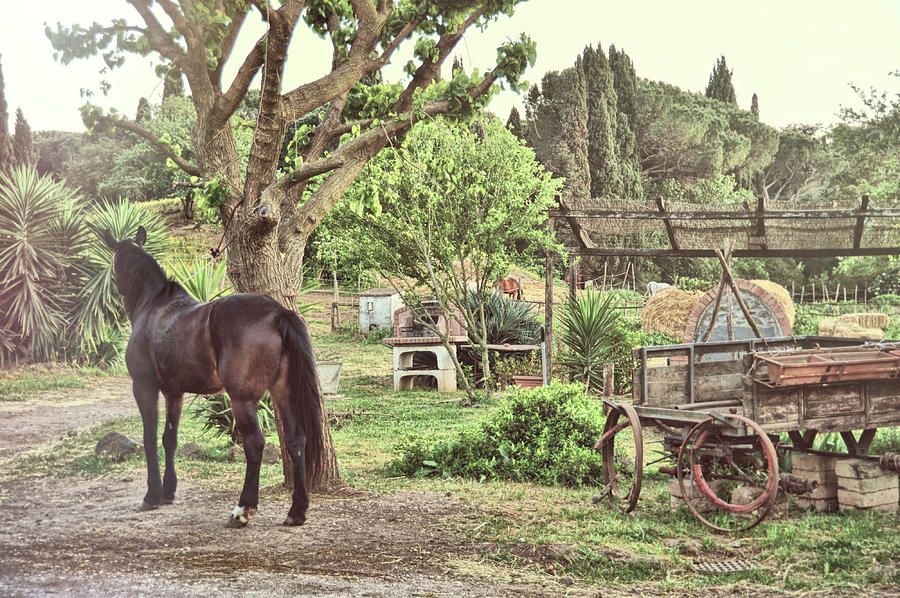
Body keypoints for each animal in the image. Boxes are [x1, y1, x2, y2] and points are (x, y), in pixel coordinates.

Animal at [104, 229, 326, 528]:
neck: (155, 306)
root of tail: (278, 314)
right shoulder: (174, 393)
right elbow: (169, 439)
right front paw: (168, 491)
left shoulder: (144, 387)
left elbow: (149, 439)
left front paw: (152, 495)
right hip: (284, 393)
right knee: (296, 441)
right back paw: (297, 511)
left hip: (242, 400)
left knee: (255, 445)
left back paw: (242, 510)